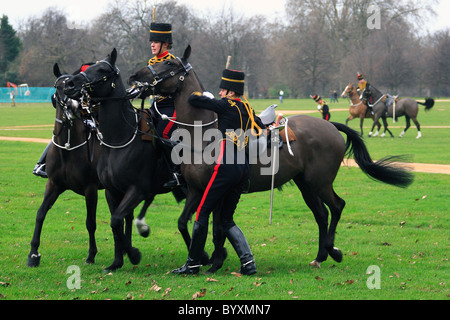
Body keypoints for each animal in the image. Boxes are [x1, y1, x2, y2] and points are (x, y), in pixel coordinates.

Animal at [62, 48, 185, 272]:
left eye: (102, 69)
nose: (69, 84)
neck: (119, 139)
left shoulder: (136, 189)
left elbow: (116, 219)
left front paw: (133, 254)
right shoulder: (112, 191)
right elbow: (116, 223)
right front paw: (117, 261)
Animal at [128, 44, 414, 272]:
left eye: (169, 63)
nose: (135, 76)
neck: (203, 135)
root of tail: (329, 125)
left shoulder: (214, 191)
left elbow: (216, 226)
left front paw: (213, 259)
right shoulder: (198, 191)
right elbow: (189, 223)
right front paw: (210, 258)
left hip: (320, 183)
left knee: (336, 207)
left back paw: (332, 250)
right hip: (306, 184)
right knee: (321, 214)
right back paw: (321, 255)